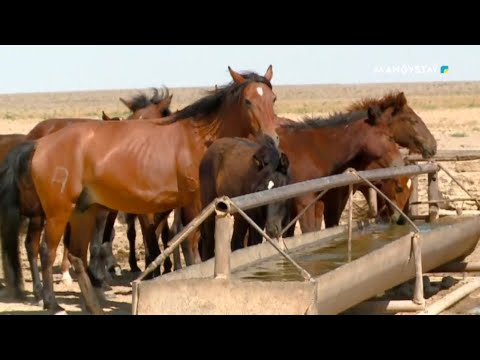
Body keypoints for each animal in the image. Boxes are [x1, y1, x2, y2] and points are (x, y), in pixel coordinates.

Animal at [0, 66, 278, 314]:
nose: (271, 139)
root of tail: (39, 143)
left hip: (84, 211)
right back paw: (51, 303)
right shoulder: (193, 203)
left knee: (77, 254)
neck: (198, 139)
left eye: (272, 99)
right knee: (45, 251)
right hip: (58, 213)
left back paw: (94, 305)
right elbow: (190, 243)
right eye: (248, 101)